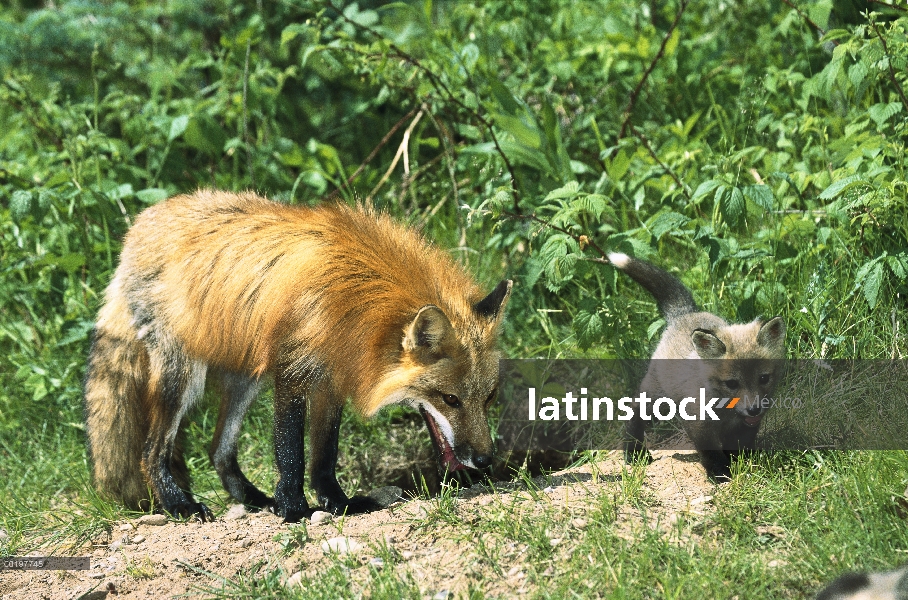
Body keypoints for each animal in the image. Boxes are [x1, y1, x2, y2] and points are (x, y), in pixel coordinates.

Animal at [85, 191, 510, 520]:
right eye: (450, 399)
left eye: (488, 397)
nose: (485, 461)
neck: (357, 300)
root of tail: (140, 224)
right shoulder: (292, 369)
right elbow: (290, 450)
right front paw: (293, 508)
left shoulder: (333, 376)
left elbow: (324, 453)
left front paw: (337, 503)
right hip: (182, 377)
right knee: (151, 451)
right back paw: (179, 505)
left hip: (246, 378)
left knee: (218, 451)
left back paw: (255, 500)